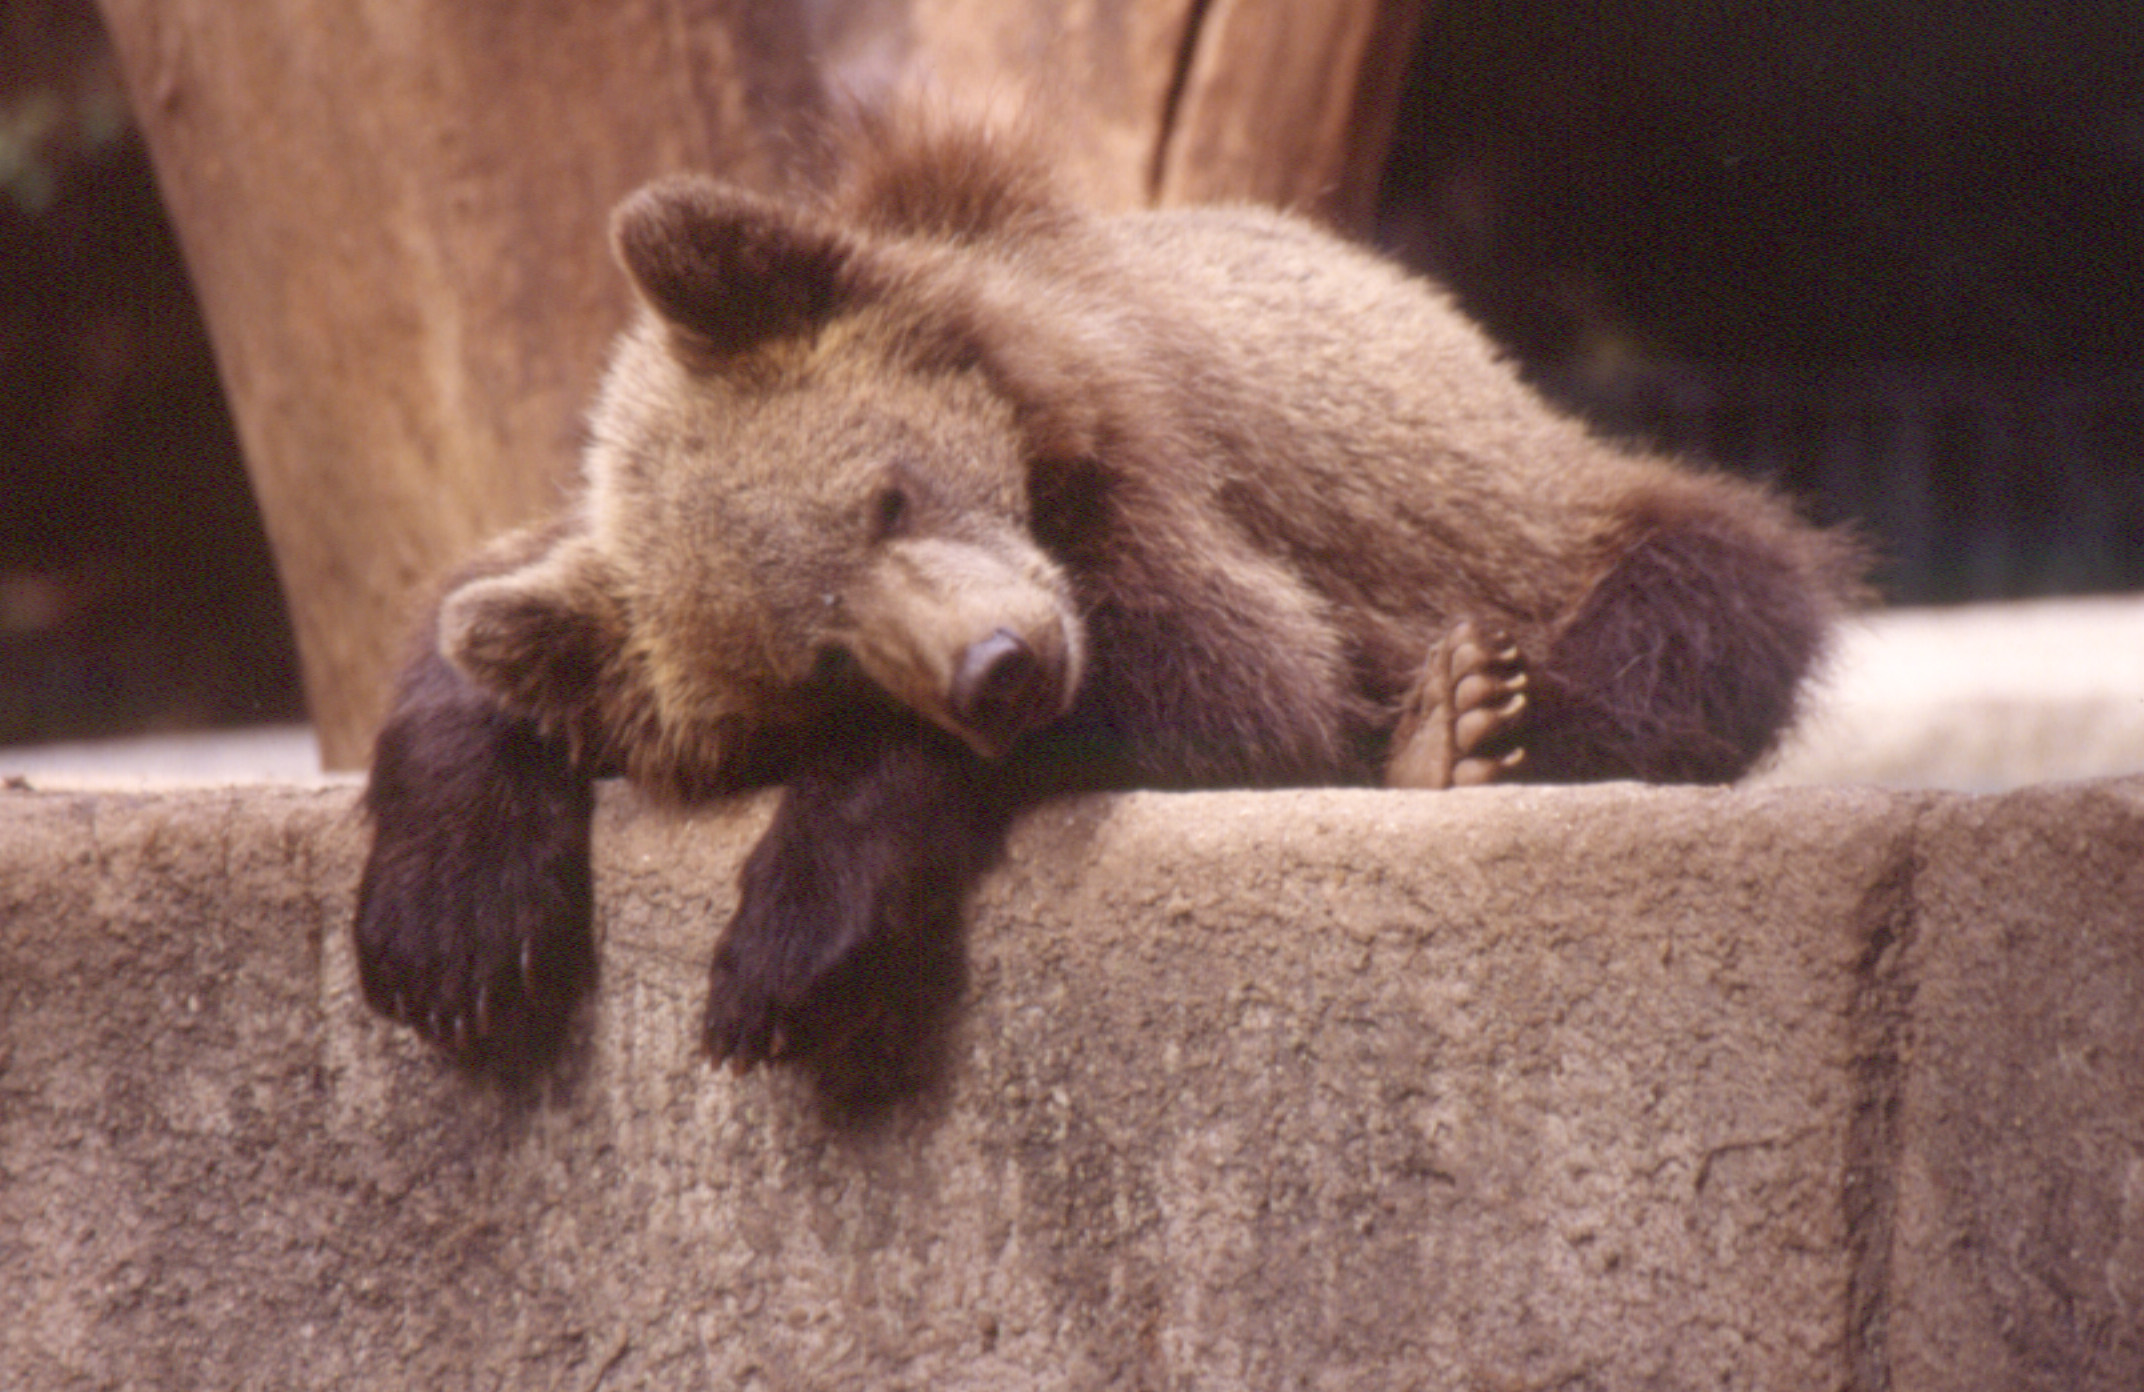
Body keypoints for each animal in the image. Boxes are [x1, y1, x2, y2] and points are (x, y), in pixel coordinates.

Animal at [354, 106, 1861, 1093]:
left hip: (1542, 511)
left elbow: (1239, 678)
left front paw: (790, 958)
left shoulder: (1164, 482)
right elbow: (482, 634)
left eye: (887, 494)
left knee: (1696, 604)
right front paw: (453, 936)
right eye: (819, 658)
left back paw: (1464, 730)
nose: (997, 666)